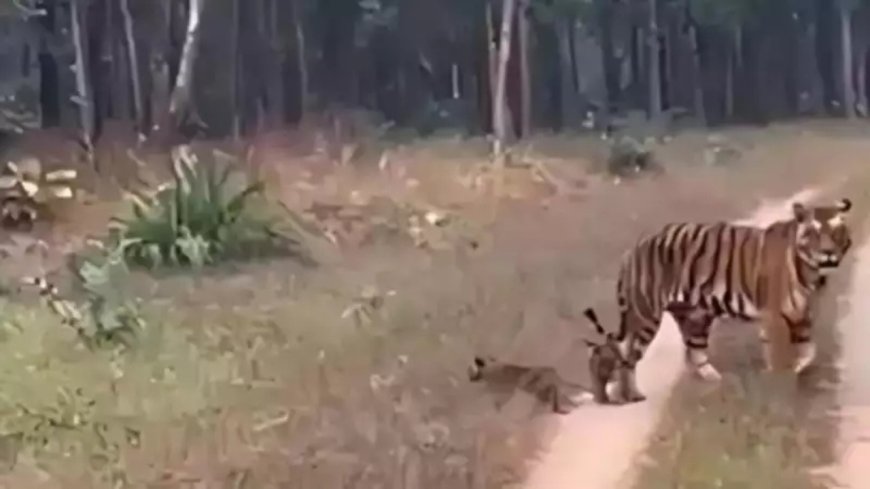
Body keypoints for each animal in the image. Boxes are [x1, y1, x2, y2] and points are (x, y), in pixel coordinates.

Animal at [605, 198, 852, 404]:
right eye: (814, 233)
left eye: (837, 231)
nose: (828, 252)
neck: (812, 272)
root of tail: (634, 248)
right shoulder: (775, 316)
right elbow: (779, 356)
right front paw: (780, 384)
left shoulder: (802, 315)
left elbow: (809, 350)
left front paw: (799, 368)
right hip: (647, 316)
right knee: (628, 357)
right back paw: (631, 395)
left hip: (696, 316)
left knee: (695, 351)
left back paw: (717, 380)